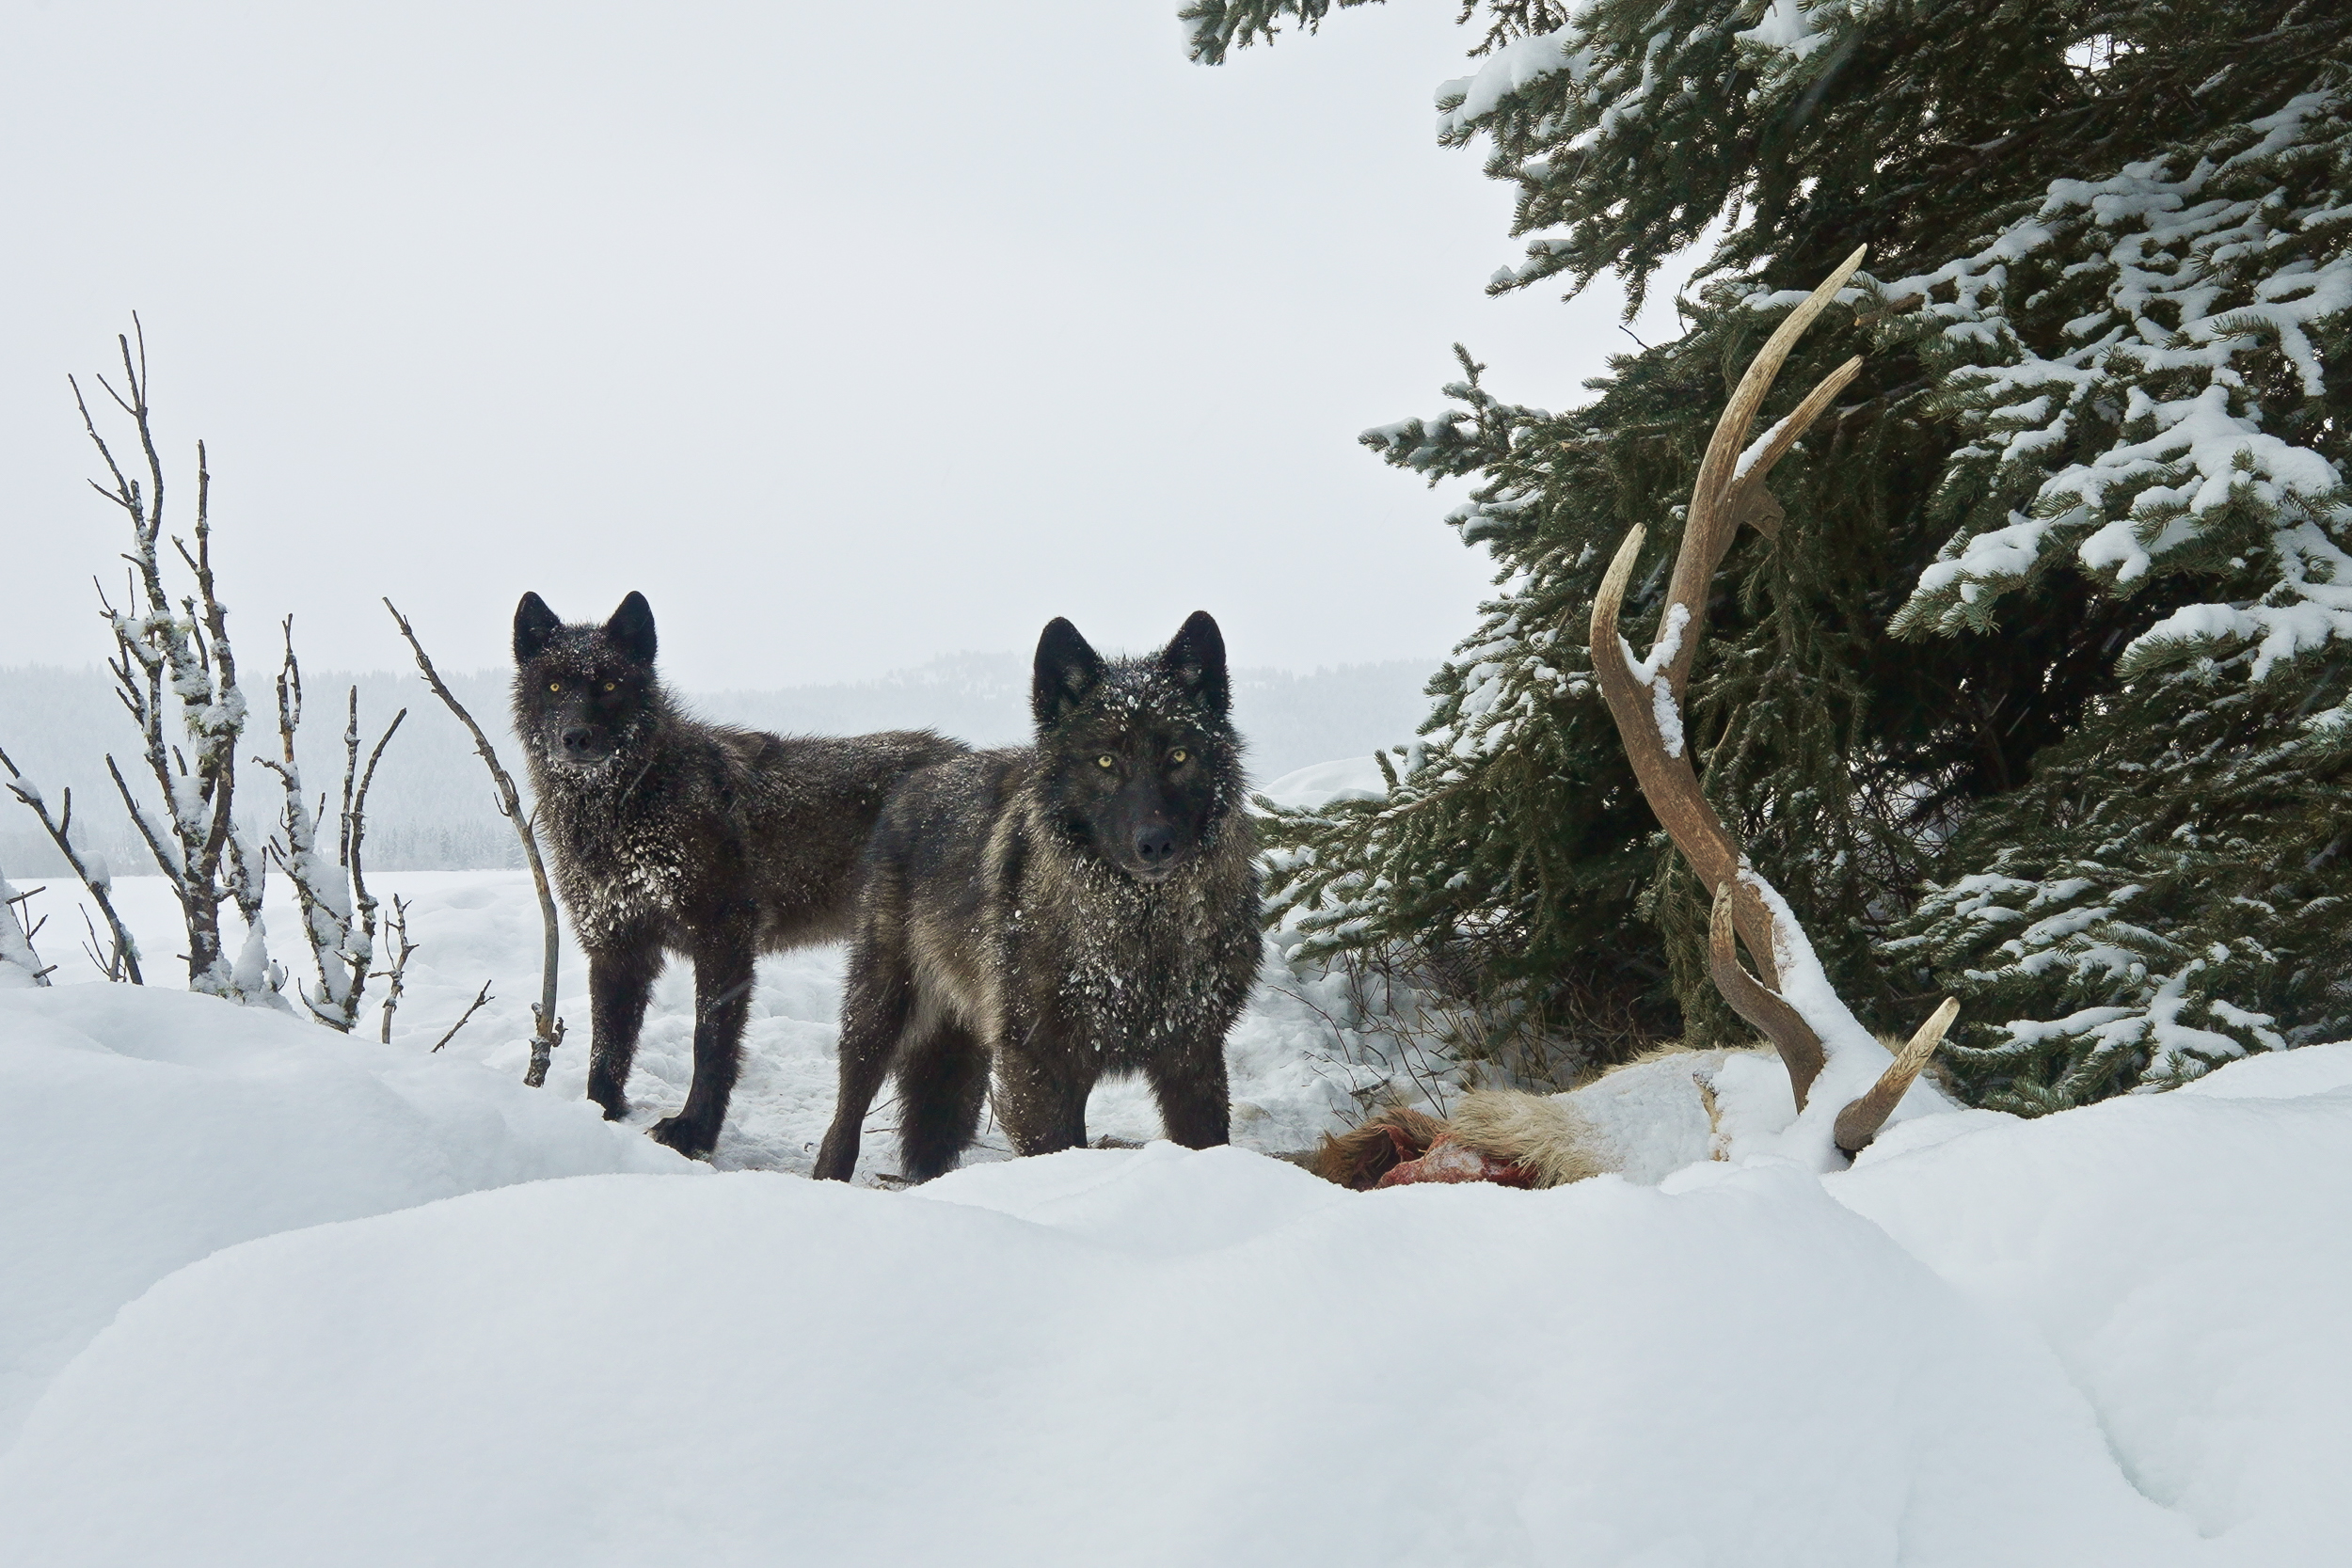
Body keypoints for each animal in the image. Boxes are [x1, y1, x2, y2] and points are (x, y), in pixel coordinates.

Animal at [512, 591, 965, 1158]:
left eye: (610, 685)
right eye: (553, 686)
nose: (576, 737)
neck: (631, 801)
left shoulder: (723, 940)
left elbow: (709, 1046)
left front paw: (693, 1131)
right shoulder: (617, 946)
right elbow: (607, 1048)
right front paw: (598, 1117)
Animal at [813, 611, 1261, 1183]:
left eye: (1178, 756)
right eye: (1105, 761)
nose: (1156, 843)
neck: (1136, 928)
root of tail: (913, 780)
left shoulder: (1192, 1053)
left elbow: (1206, 1140)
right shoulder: (1038, 1062)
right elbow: (1056, 1151)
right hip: (880, 1007)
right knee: (848, 1105)